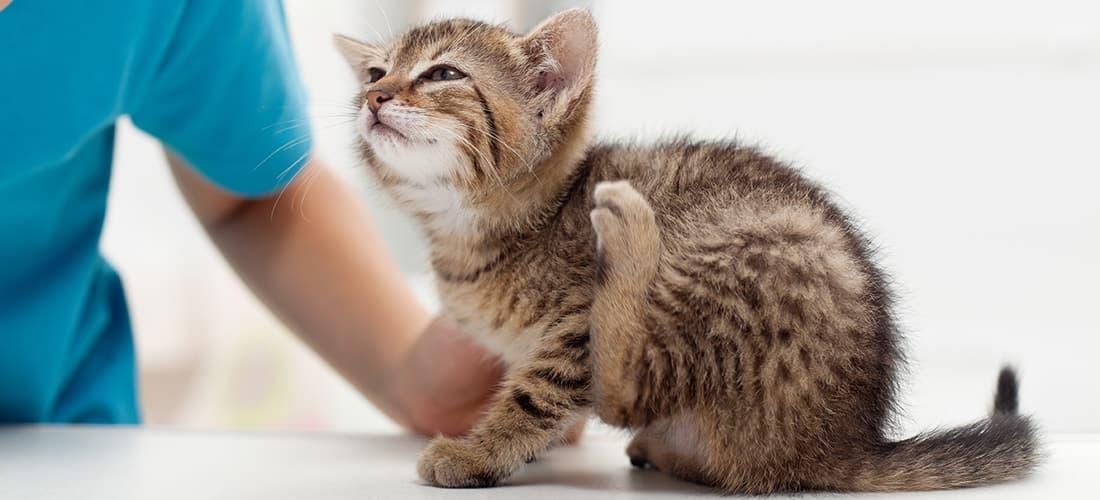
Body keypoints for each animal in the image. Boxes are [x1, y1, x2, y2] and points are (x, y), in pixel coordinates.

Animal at [334, 9, 1038, 494]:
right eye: (375, 72)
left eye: (443, 73)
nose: (374, 96)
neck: (471, 232)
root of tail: (844, 442)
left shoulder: (571, 330)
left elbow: (540, 395)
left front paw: (477, 453)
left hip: (735, 250)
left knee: (627, 391)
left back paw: (631, 232)